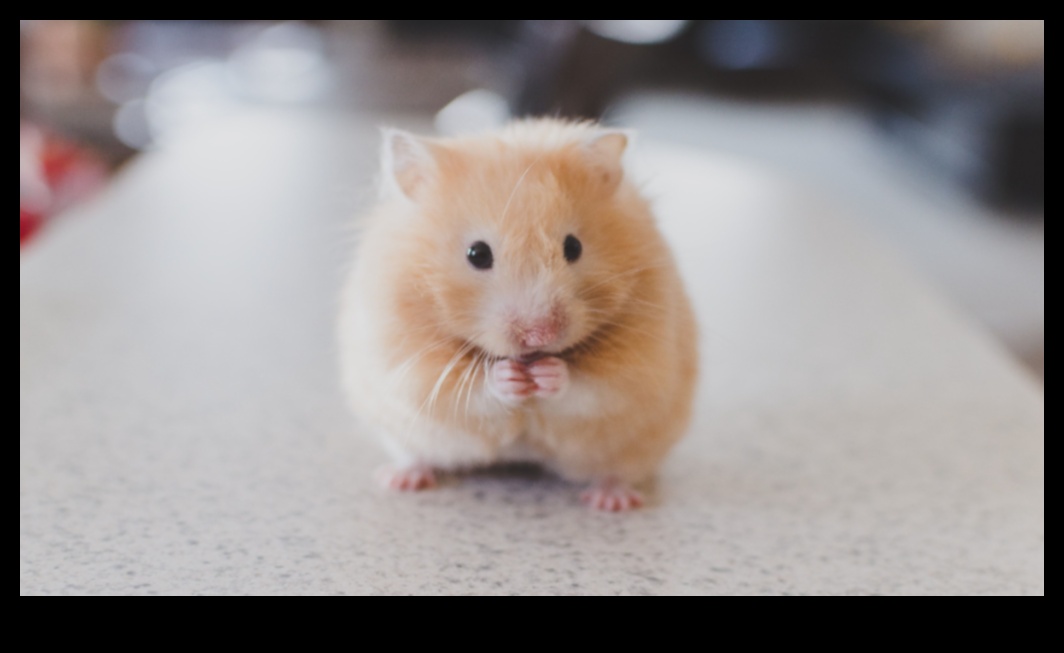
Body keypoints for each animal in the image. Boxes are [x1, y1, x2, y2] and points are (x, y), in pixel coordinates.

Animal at [338, 119, 698, 511]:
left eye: (573, 247)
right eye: (477, 253)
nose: (540, 335)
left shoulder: (640, 367)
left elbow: (591, 387)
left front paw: (548, 373)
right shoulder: (407, 364)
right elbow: (469, 390)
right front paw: (510, 377)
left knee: (616, 471)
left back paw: (612, 501)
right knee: (416, 455)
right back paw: (399, 479)